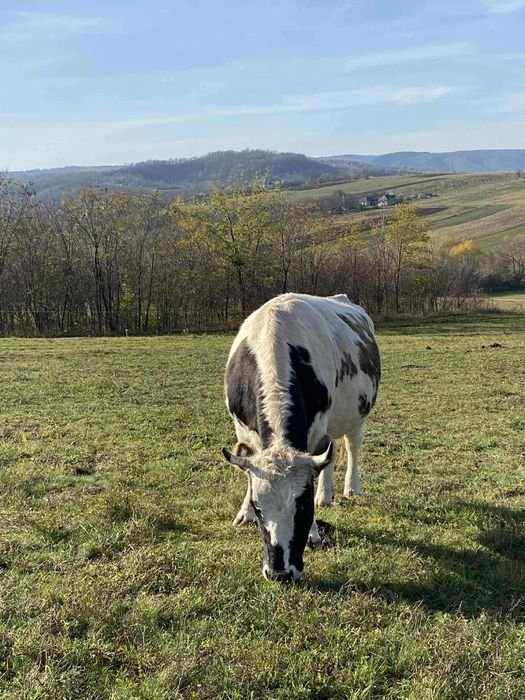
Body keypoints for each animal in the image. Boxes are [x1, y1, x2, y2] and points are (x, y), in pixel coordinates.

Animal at [222, 293, 380, 582]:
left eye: (303, 506)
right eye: (259, 508)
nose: (280, 573)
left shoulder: (316, 430)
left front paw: (314, 533)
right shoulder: (243, 431)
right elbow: (249, 474)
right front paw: (244, 513)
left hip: (357, 412)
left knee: (352, 445)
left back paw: (350, 487)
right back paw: (325, 495)